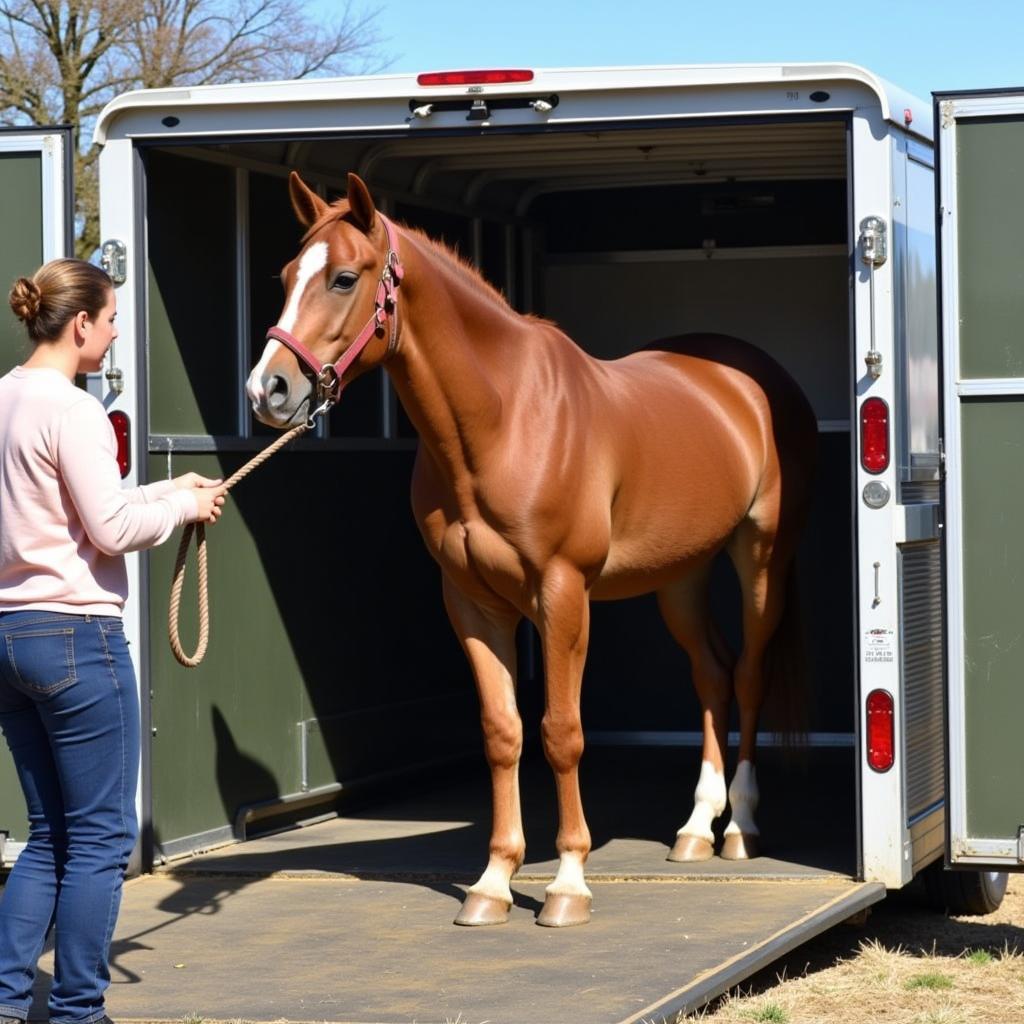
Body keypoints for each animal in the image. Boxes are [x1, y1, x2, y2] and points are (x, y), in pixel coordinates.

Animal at [247, 174, 815, 929]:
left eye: (344, 278)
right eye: (286, 276)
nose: (267, 389)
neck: (505, 417)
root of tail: (749, 377)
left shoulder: (563, 593)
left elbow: (561, 730)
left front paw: (568, 883)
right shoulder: (470, 602)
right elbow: (503, 732)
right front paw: (492, 882)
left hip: (759, 559)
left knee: (748, 674)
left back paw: (741, 827)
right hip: (681, 577)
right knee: (712, 675)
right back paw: (696, 828)